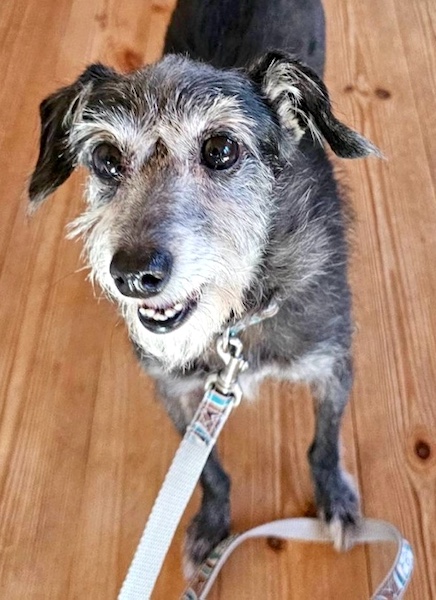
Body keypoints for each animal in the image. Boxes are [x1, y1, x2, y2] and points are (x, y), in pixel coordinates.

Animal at [29, 0, 378, 577]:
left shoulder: (333, 363)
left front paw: (335, 500)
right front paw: (213, 525)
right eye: (105, 159)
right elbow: (209, 468)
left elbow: (324, 444)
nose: (133, 275)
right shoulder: (175, 390)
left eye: (220, 148)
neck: (238, 318)